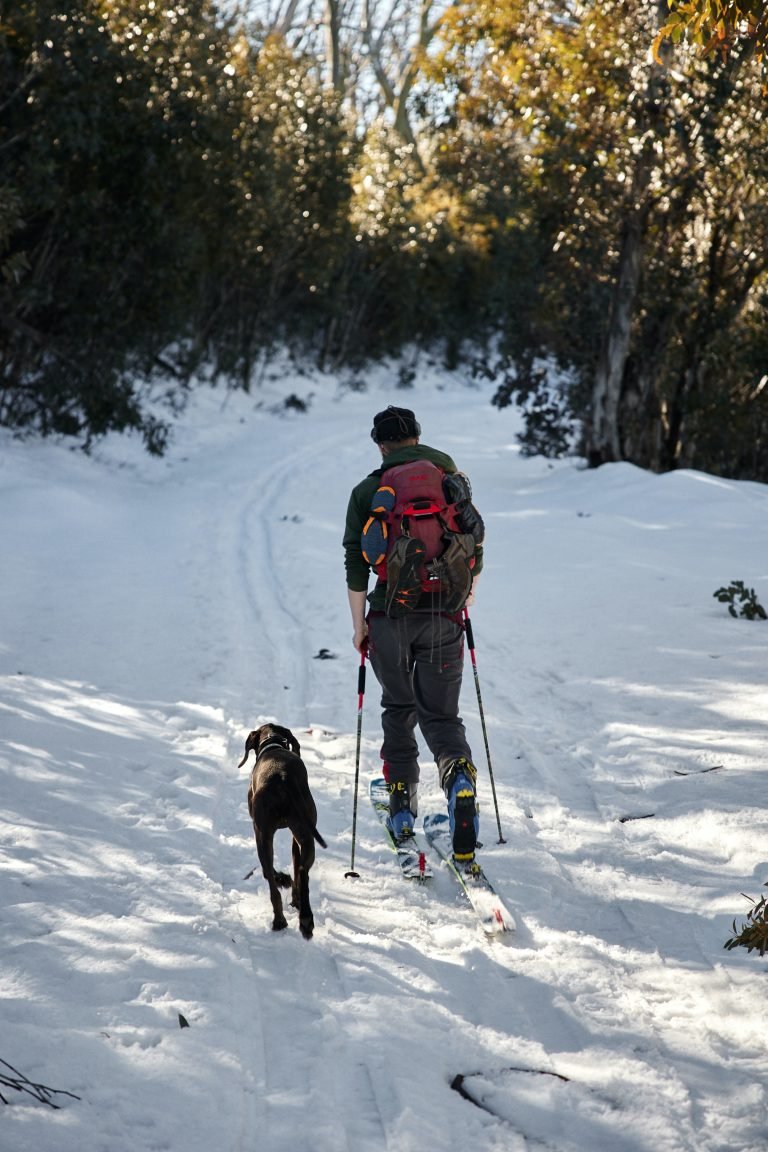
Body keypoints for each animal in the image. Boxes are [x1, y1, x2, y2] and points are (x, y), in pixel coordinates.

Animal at [238, 723, 327, 940]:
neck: (272, 743)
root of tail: (283, 780)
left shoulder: (261, 832)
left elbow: (268, 872)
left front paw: (284, 880)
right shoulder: (296, 838)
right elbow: (296, 865)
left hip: (262, 835)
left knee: (270, 880)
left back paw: (279, 919)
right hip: (306, 836)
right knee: (303, 872)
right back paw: (306, 920)